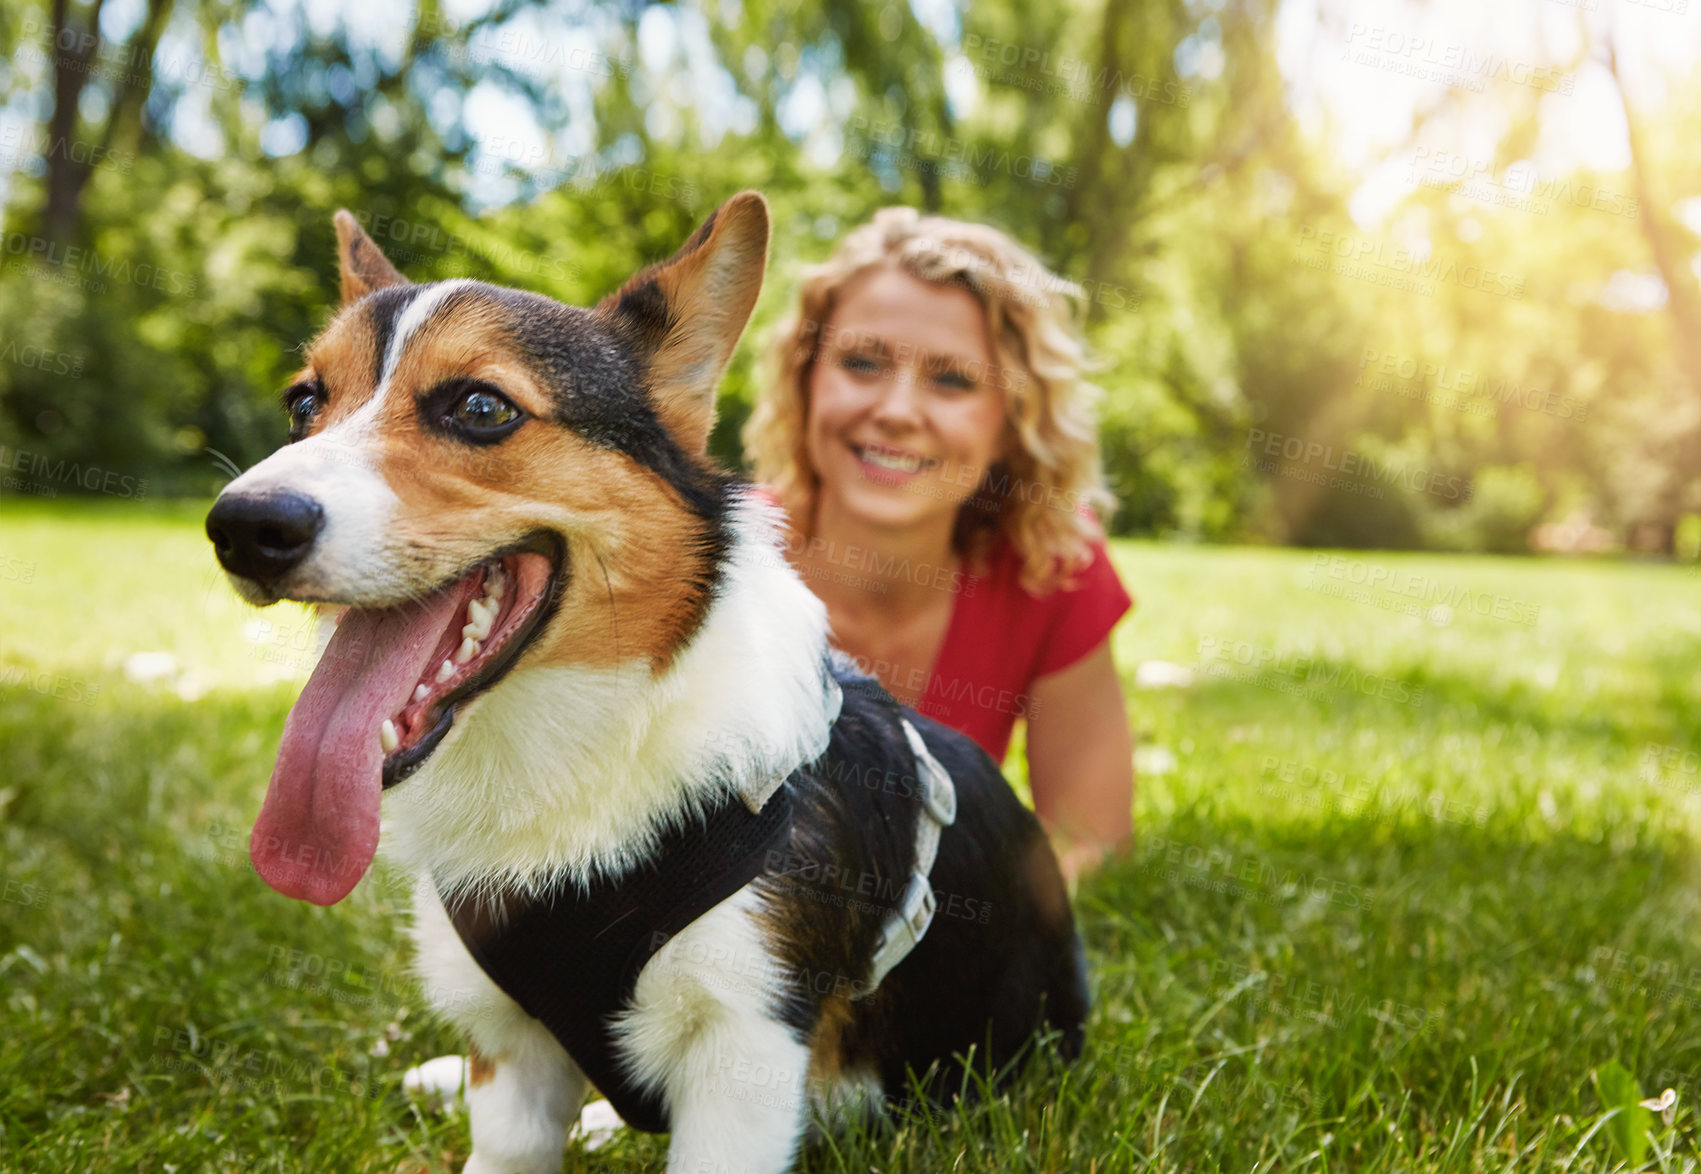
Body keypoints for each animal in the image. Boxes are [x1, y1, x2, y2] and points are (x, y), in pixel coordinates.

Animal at [209, 192, 1088, 1170]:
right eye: (303, 404)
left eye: (479, 406)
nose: (241, 527)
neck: (574, 747)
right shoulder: (510, 1059)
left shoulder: (744, 1052)